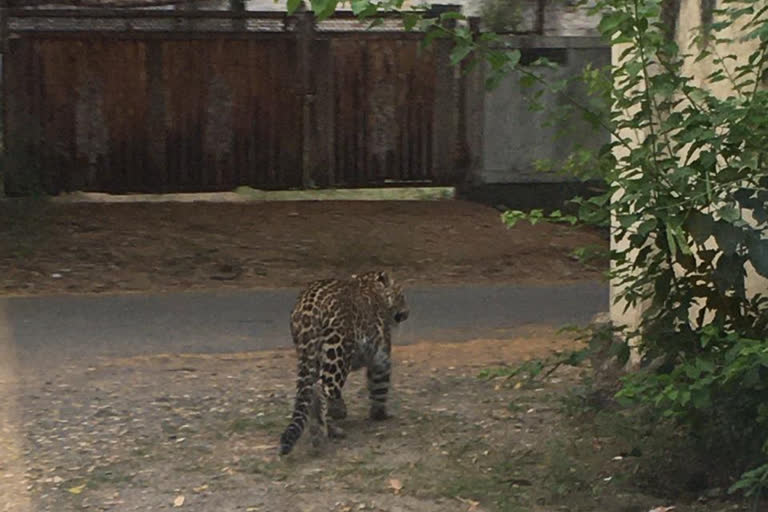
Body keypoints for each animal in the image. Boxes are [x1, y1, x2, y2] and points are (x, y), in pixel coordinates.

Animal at [276, 270, 408, 454]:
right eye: (401, 295)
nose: (407, 312)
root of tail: (308, 306)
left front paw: (339, 410)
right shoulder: (381, 357)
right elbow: (379, 387)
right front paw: (379, 414)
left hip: (309, 357)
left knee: (312, 390)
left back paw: (328, 427)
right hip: (338, 352)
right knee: (321, 389)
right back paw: (320, 431)